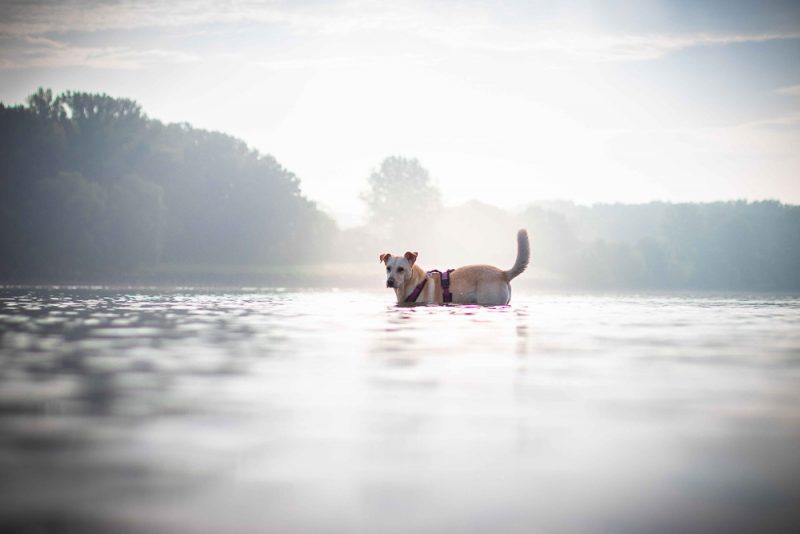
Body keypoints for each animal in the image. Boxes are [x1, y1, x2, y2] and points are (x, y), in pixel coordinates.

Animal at [378, 229, 528, 308]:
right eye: (388, 268)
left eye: (401, 269)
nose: (390, 281)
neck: (414, 284)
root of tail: (503, 273)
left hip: (490, 300)